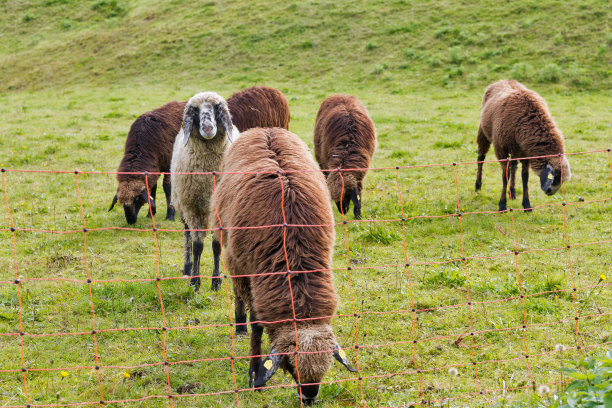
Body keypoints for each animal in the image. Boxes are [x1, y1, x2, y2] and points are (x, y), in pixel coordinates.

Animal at [172, 91, 241, 292]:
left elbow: (216, 246)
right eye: (195, 110)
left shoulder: (218, 210)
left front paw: (216, 281)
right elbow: (197, 246)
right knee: (187, 234)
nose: (208, 128)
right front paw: (195, 281)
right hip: (182, 206)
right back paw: (187, 267)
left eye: (217, 107)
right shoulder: (192, 208)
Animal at [210, 127, 356, 404]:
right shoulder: (250, 270)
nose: (309, 399)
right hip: (232, 255)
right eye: (290, 364)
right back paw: (239, 323)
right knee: (238, 293)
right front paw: (254, 375)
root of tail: (264, 128)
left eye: (326, 368)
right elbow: (257, 326)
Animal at [476, 81, 572, 212]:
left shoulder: (526, 153)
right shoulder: (501, 149)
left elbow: (525, 177)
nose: (549, 192)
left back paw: (512, 192)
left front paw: (527, 205)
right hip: (483, 131)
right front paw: (502, 205)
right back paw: (478, 186)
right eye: (554, 176)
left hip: (515, 149)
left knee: (514, 166)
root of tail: (503, 80)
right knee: (481, 158)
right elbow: (505, 176)